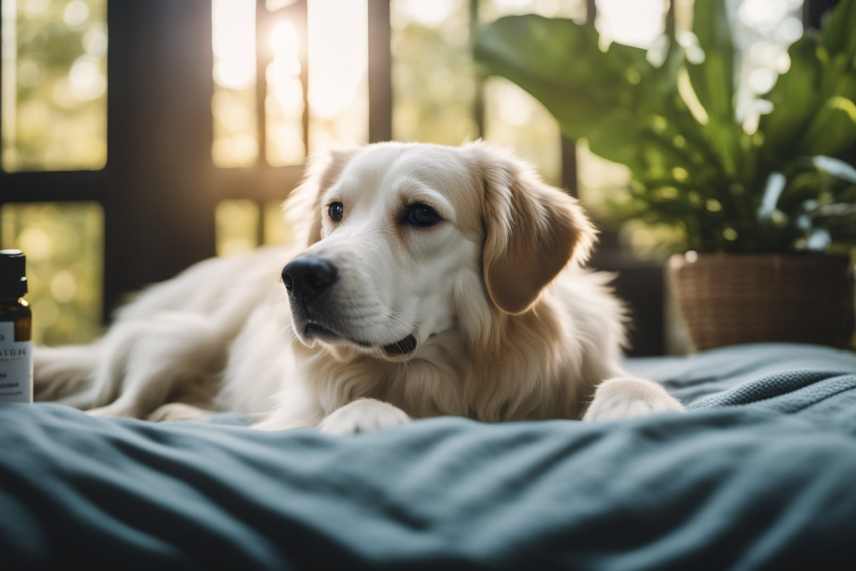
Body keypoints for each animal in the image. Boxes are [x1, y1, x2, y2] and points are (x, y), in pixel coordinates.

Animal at [33, 142, 684, 434]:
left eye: (421, 214)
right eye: (335, 210)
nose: (299, 275)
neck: (453, 370)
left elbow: (630, 381)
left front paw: (635, 406)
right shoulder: (306, 406)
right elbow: (356, 404)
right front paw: (368, 419)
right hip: (178, 338)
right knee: (112, 410)